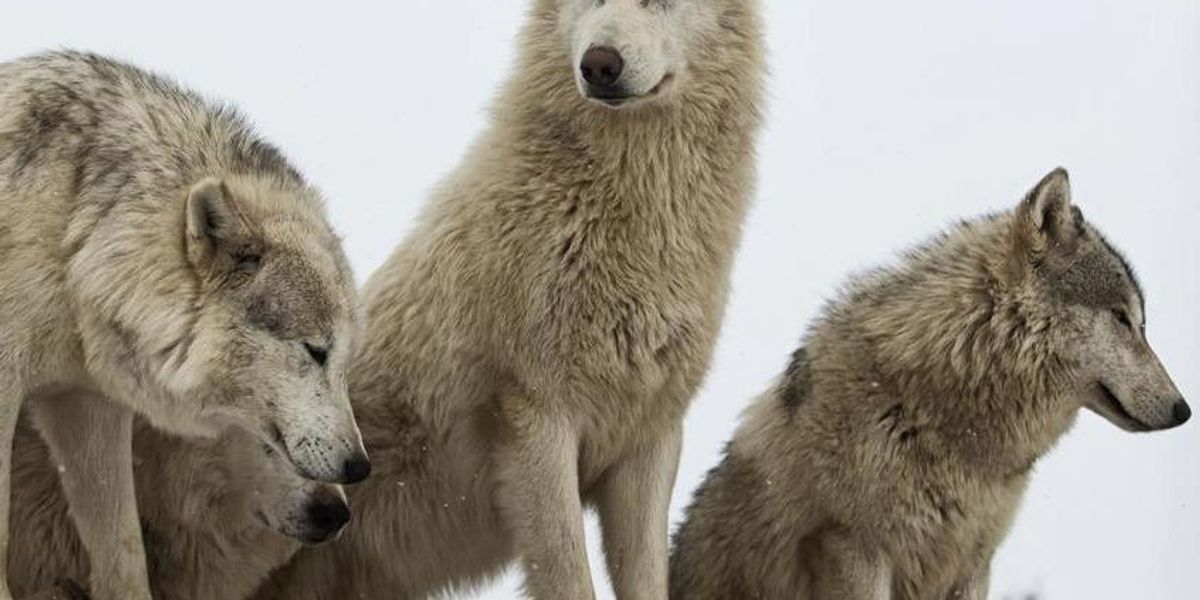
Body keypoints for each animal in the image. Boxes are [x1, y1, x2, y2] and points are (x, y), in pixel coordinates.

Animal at [253, 1, 765, 598]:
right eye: (589, 4)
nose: (600, 64)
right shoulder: (536, 422)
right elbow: (570, 578)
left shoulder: (649, 438)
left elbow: (644, 578)